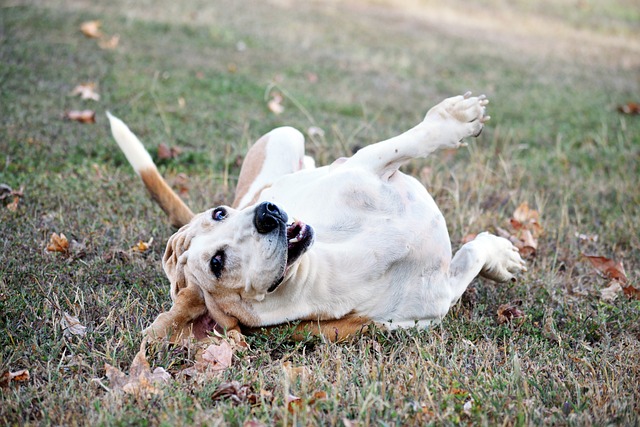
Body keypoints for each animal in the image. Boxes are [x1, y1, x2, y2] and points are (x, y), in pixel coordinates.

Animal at [106, 92, 524, 342]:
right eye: (217, 263)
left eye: (220, 213)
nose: (267, 213)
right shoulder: (438, 297)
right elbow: (471, 256)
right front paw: (498, 258)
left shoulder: (362, 166)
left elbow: (406, 142)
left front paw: (454, 120)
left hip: (286, 133)